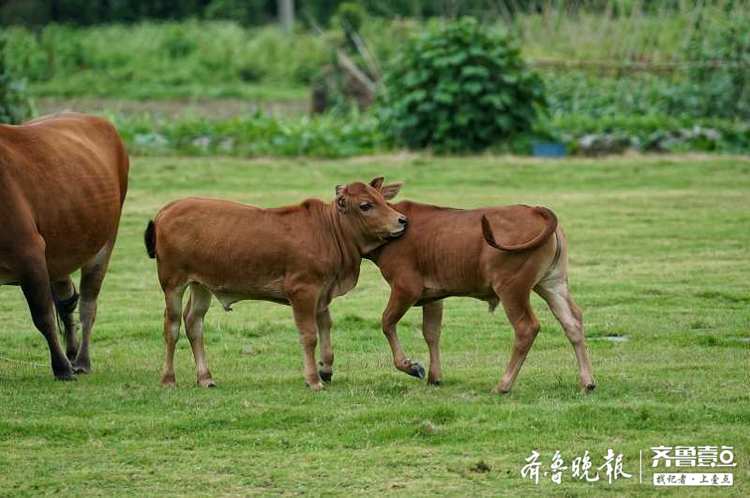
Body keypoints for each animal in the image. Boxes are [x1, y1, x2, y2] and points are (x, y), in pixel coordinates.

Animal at [0, 112, 129, 378]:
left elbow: (43, 317)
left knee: (88, 304)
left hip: (105, 241)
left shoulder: (29, 253)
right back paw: (72, 351)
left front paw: (61, 368)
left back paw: (80, 361)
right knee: (67, 299)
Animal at [144, 177, 408, 392]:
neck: (328, 231)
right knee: (172, 326)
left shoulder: (322, 293)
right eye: (365, 205)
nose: (402, 221)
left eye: (384, 200)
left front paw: (326, 367)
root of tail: (167, 209)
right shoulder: (303, 291)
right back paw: (168, 379)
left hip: (201, 284)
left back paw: (205, 377)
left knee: (194, 323)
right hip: (173, 283)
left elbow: (325, 327)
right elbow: (309, 335)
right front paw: (313, 379)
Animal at [368, 200, 596, 394]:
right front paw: (434, 377)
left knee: (526, 328)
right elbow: (431, 332)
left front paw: (411, 366)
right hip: (552, 284)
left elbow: (388, 322)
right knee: (572, 321)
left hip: (512, 289)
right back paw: (587, 382)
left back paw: (503, 385)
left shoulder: (405, 288)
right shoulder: (433, 296)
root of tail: (535, 210)